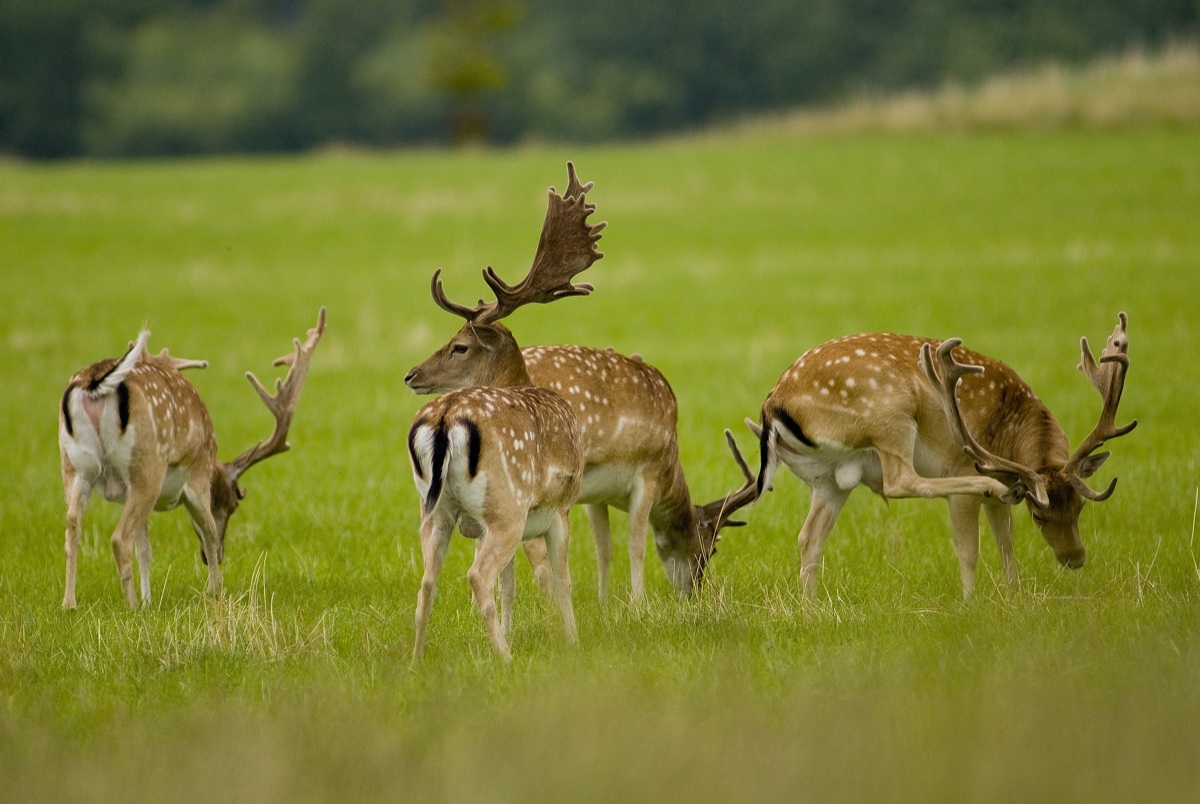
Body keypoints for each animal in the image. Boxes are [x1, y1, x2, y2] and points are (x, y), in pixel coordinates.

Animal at [58, 308, 326, 609]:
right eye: (233, 504)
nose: (214, 557)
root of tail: (93, 383)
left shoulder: (129, 495)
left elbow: (145, 547)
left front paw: (150, 601)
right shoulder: (198, 473)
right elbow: (207, 528)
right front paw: (214, 590)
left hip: (75, 467)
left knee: (72, 529)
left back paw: (70, 604)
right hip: (147, 465)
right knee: (119, 539)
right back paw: (131, 606)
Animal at [405, 168, 757, 604]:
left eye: (459, 345)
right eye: (708, 550)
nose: (694, 591)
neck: (672, 461)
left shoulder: (593, 493)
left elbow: (605, 547)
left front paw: (606, 603)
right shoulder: (644, 470)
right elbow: (635, 543)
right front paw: (638, 603)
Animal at [749, 312, 1135, 599]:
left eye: (1080, 507)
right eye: (1040, 515)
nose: (1075, 558)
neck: (1010, 431)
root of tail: (773, 404)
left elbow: (1006, 541)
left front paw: (1016, 594)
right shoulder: (968, 467)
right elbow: (969, 548)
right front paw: (970, 603)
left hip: (830, 478)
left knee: (809, 537)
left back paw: (811, 609)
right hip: (891, 414)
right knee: (900, 482)